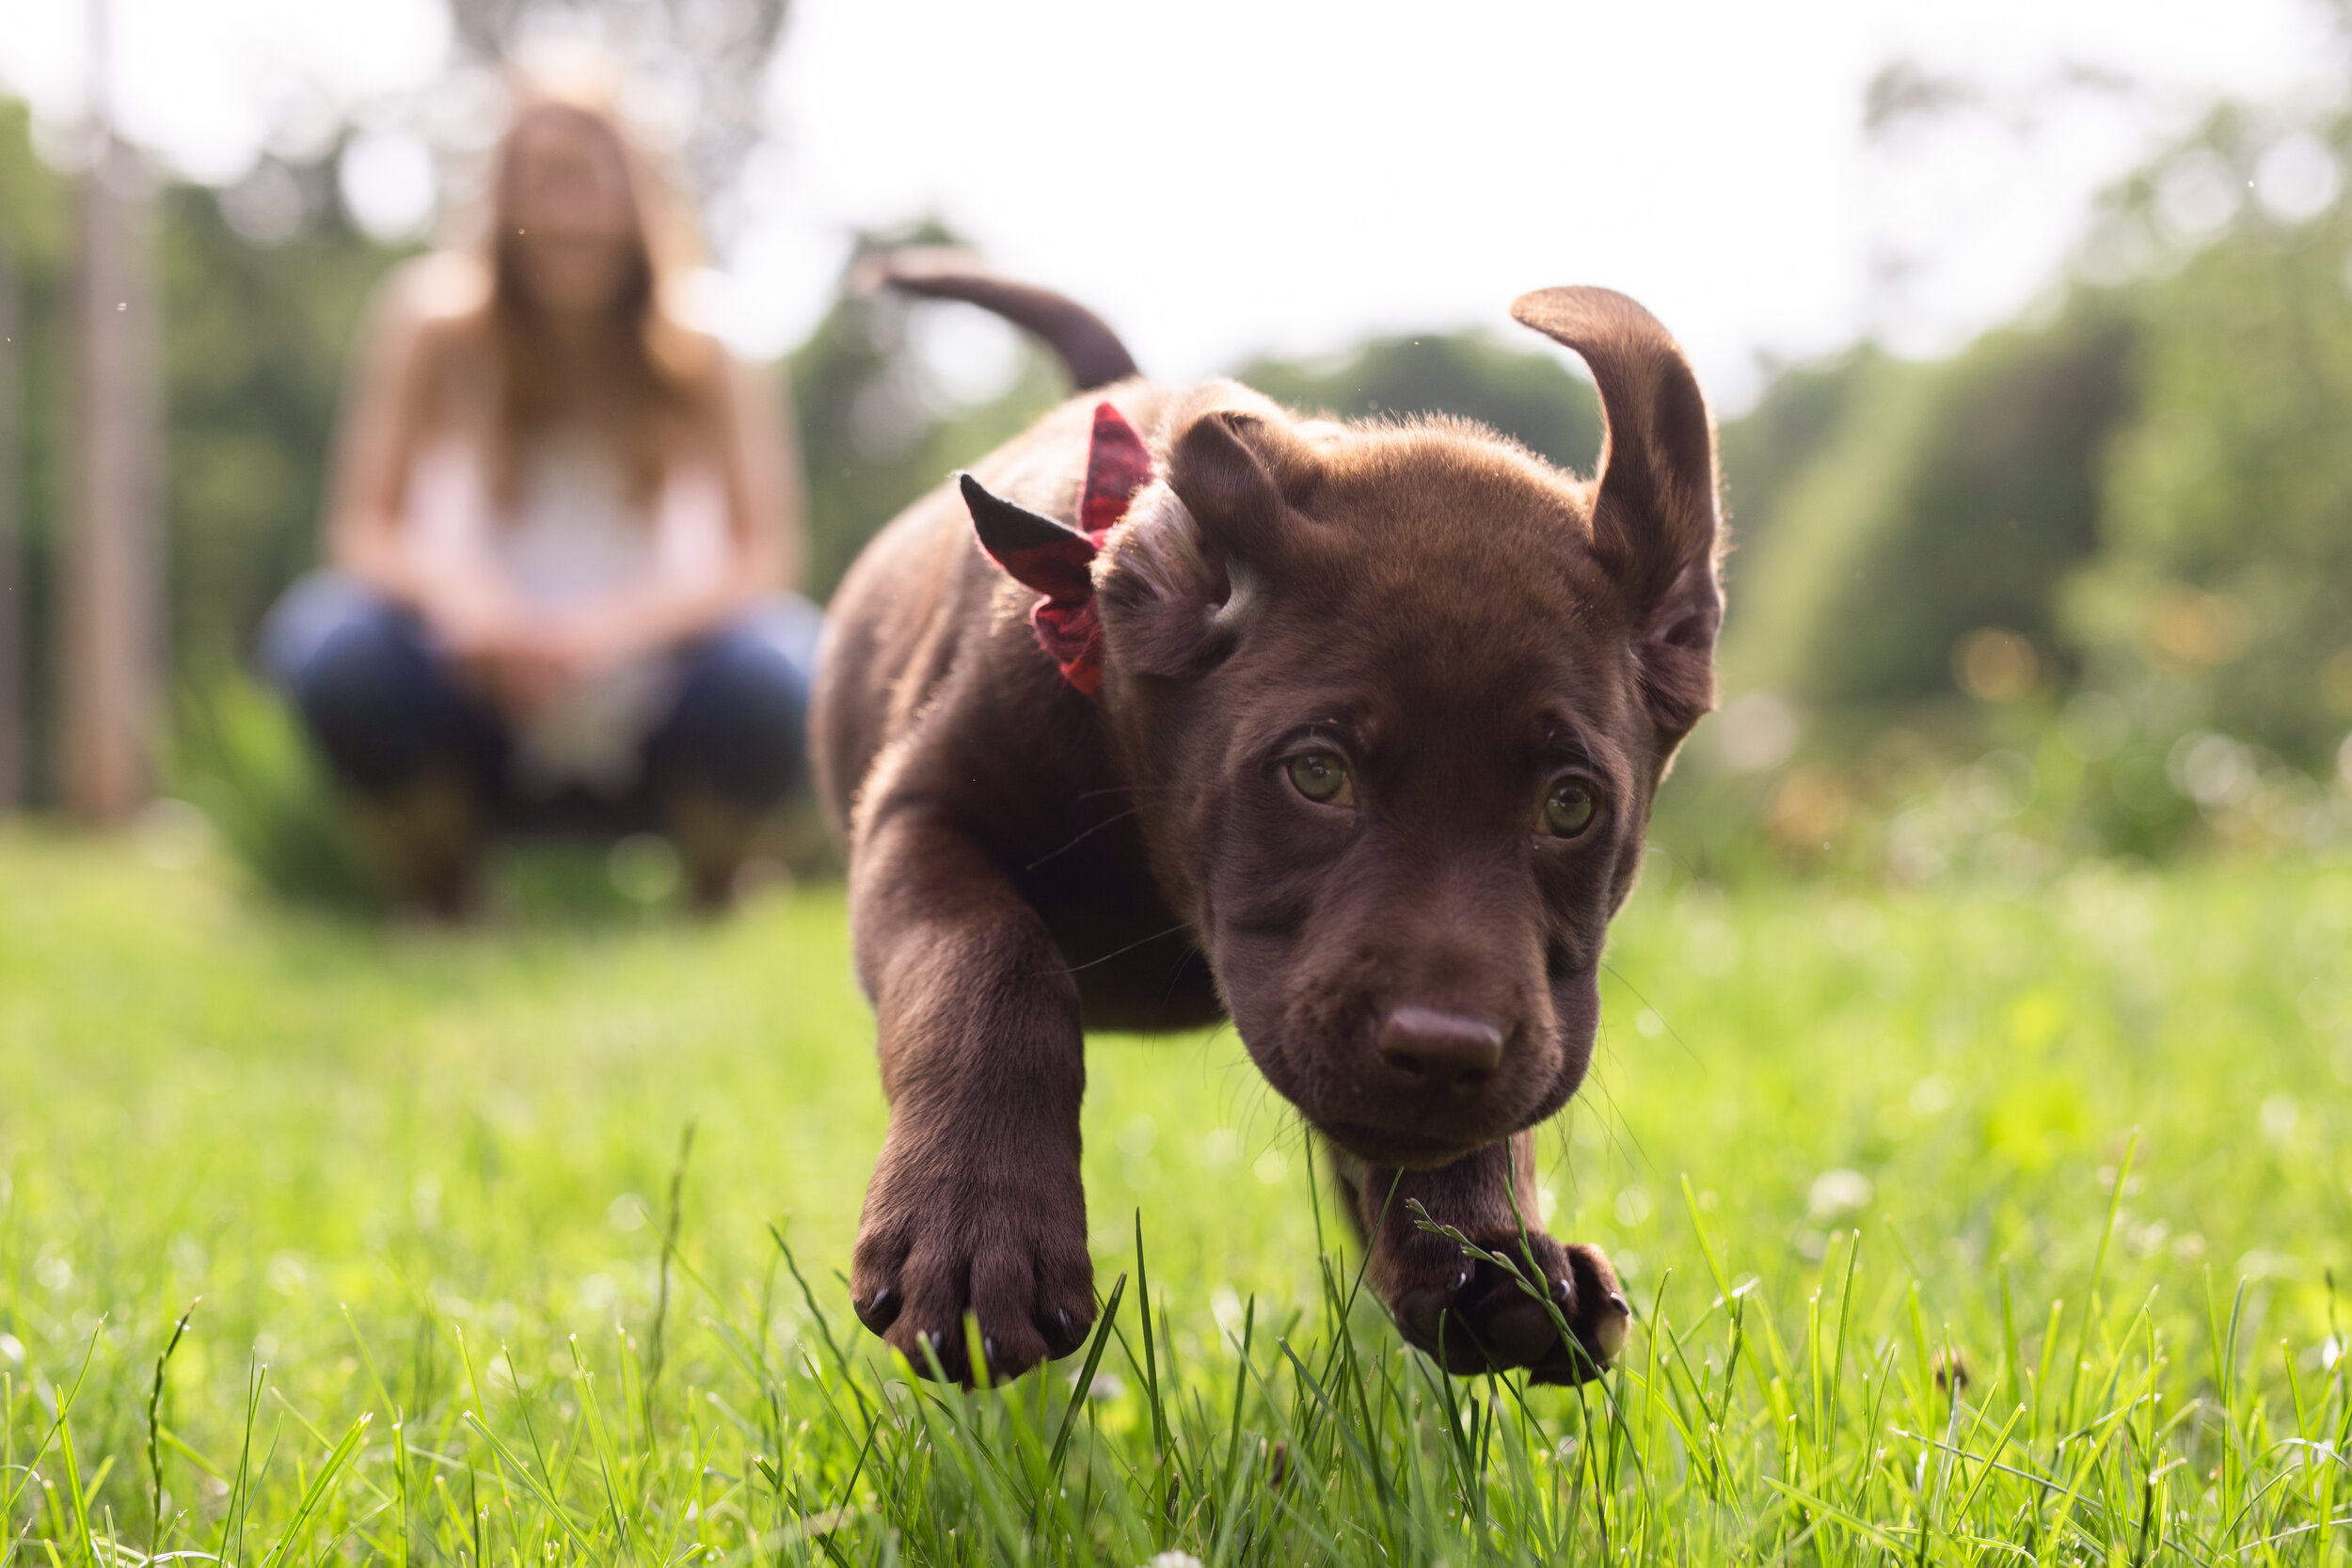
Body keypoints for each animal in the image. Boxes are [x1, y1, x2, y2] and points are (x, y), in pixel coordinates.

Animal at [818, 270, 1722, 1382]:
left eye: (1569, 804)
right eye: (1317, 774)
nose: (1444, 1050)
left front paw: (1486, 1246)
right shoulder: (918, 817)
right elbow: (985, 963)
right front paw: (975, 1232)